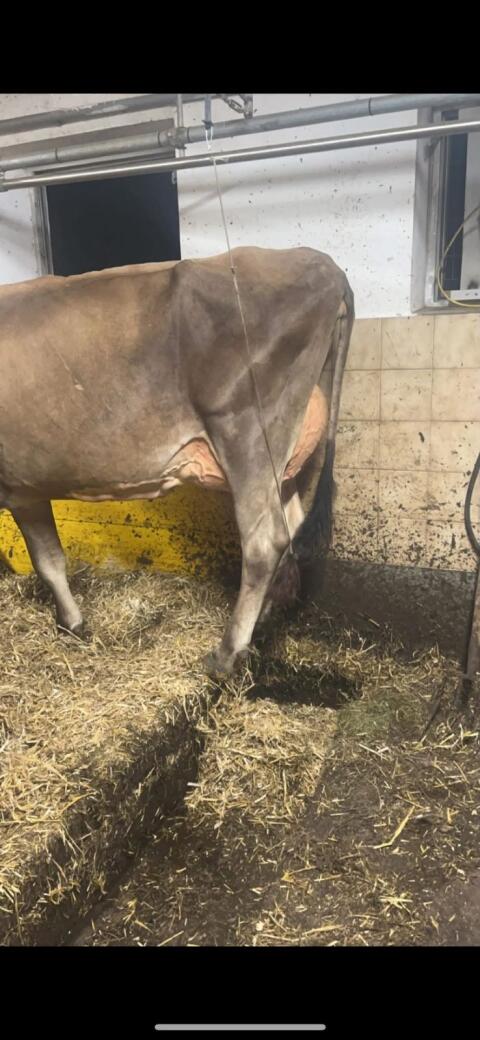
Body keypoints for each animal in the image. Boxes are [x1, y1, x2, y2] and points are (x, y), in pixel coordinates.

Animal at [0, 246, 354, 678]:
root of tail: (323, 263)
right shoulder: (28, 490)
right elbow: (51, 559)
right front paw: (74, 625)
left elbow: (46, 561)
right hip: (280, 457)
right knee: (290, 529)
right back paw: (265, 619)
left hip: (245, 430)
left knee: (263, 542)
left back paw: (227, 653)